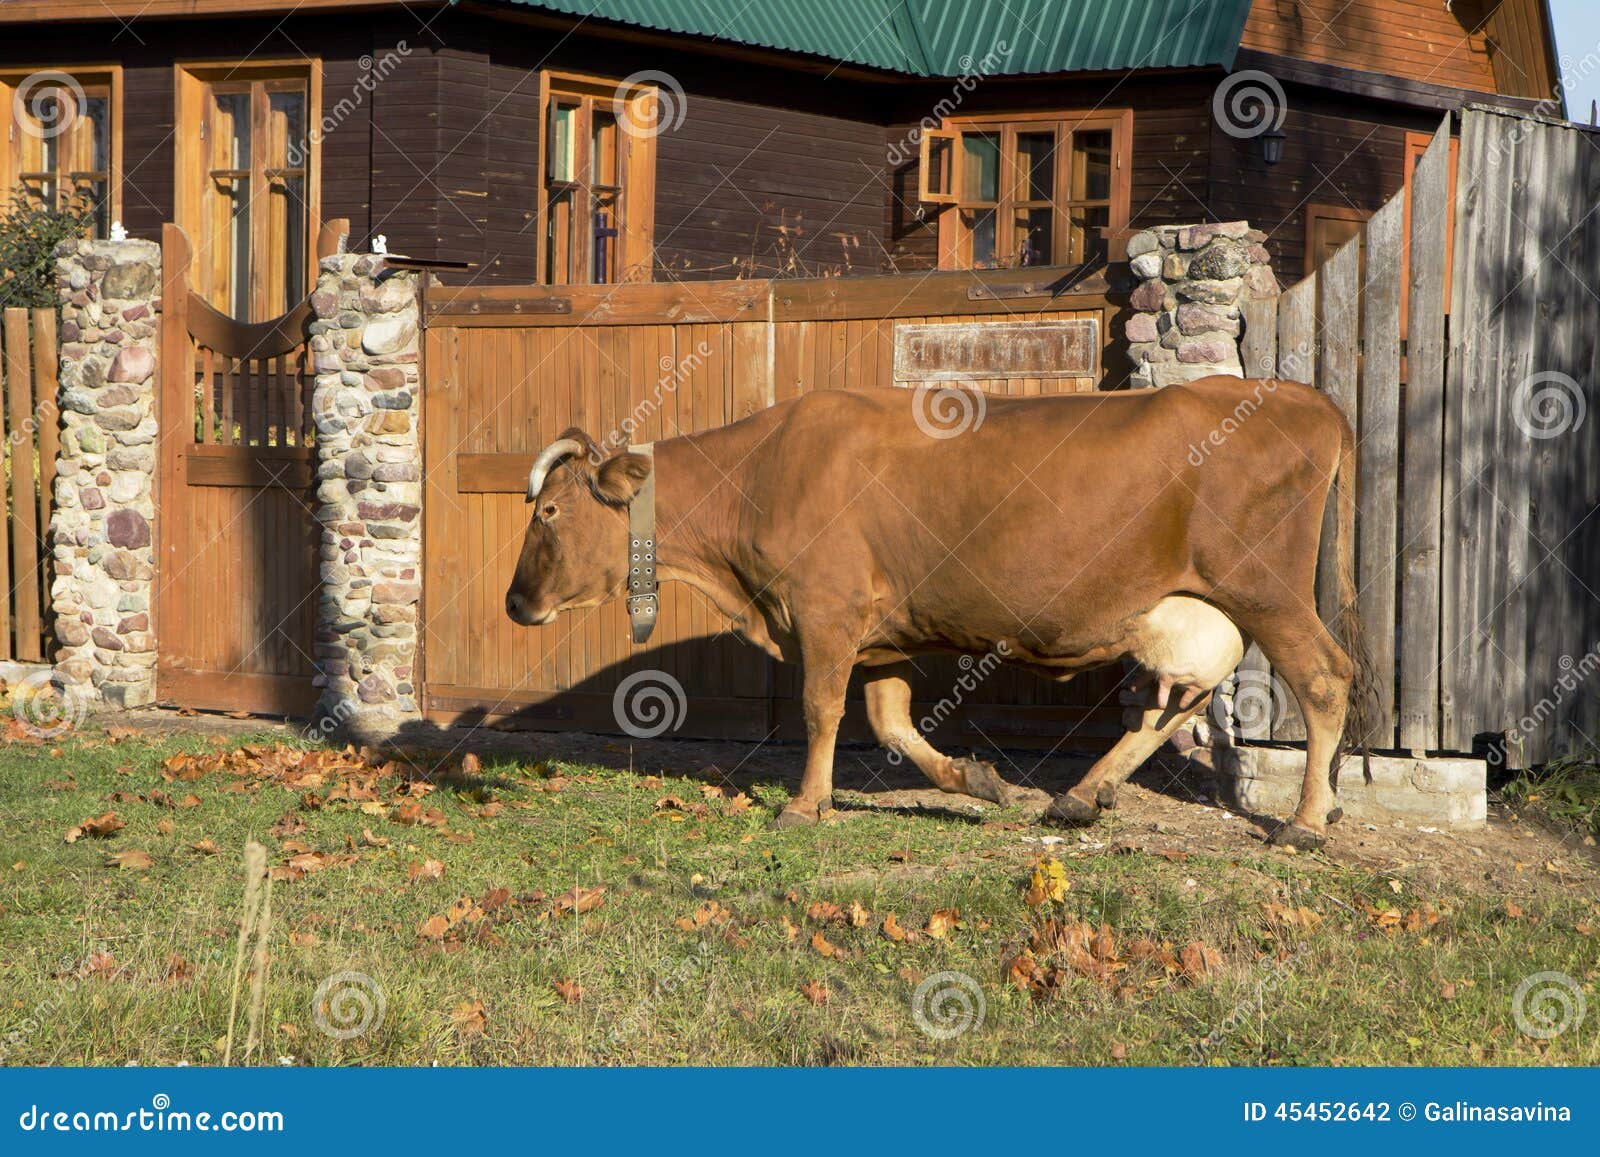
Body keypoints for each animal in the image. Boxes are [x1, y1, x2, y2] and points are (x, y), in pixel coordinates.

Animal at [505, 380, 1369, 851]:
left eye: (548, 511)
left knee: (1327, 678)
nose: (515, 601)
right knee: (1176, 700)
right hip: (1203, 605)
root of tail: (1303, 396)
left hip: (1264, 587)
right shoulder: (881, 631)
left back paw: (1306, 820)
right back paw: (1081, 793)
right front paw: (974, 779)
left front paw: (804, 804)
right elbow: (890, 720)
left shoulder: (825, 609)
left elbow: (821, 709)